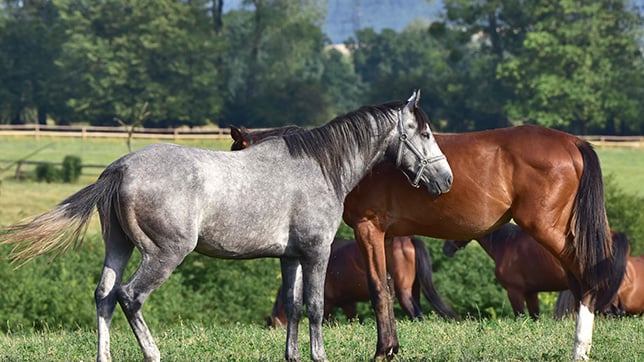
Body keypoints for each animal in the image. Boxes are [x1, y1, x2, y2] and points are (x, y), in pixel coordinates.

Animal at [266, 236, 458, 326]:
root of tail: (409, 239)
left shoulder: (327, 303)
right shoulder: (348, 304)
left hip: (404, 294)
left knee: (416, 315)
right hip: (414, 291)